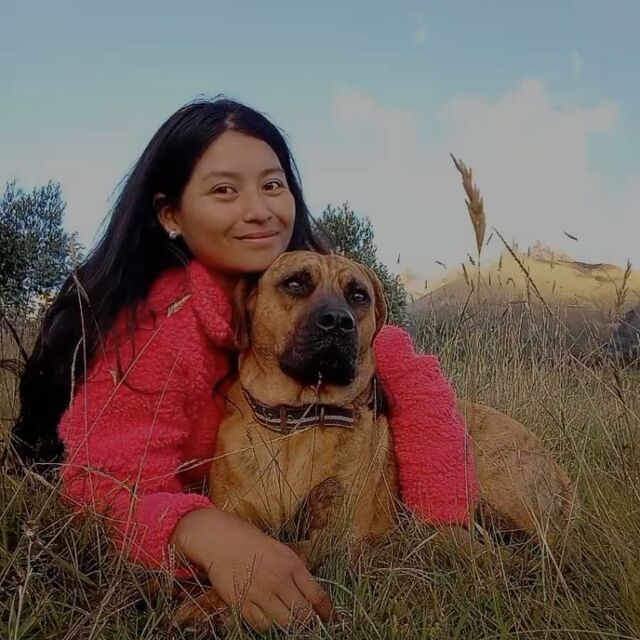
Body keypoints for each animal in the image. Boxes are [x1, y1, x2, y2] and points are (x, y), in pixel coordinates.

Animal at [174, 250, 575, 624]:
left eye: (358, 295)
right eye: (295, 283)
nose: (338, 322)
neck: (298, 422)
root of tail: (558, 470)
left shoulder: (337, 534)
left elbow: (290, 552)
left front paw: (202, 603)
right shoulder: (237, 514)